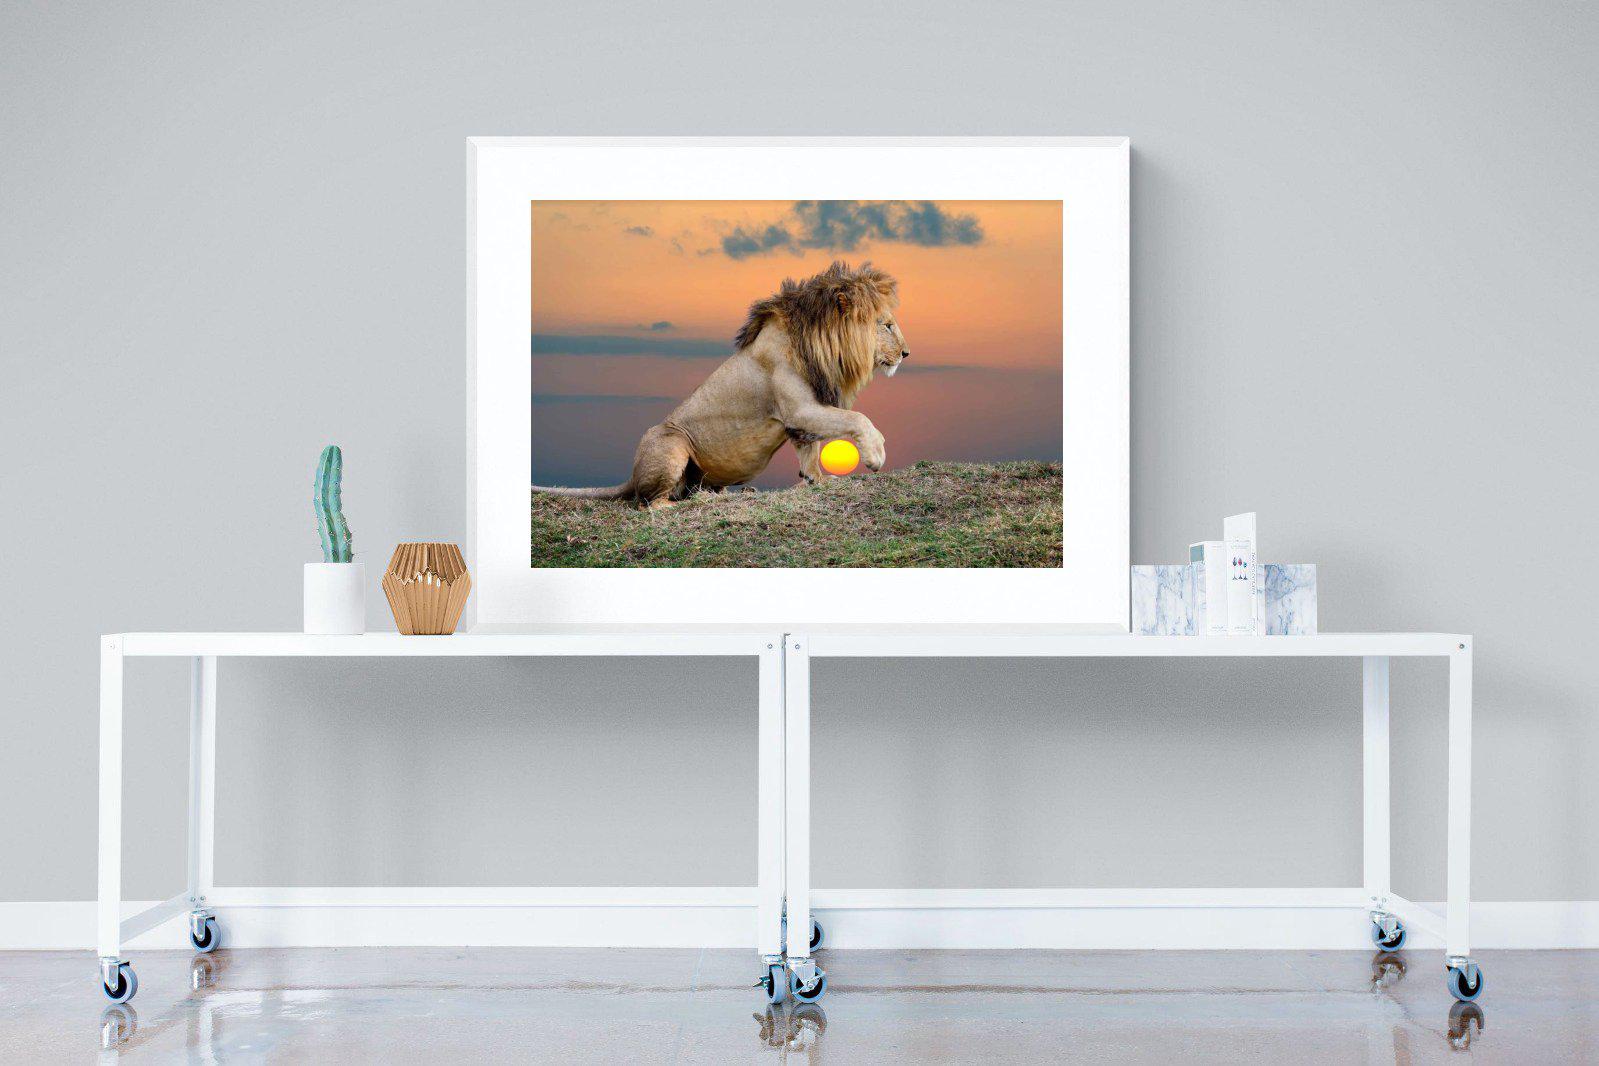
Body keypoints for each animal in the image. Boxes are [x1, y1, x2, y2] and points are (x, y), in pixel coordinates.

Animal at [533, 261, 910, 509]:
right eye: (887, 325)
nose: (907, 353)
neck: (822, 345)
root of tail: (632, 474)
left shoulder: (801, 416)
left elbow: (809, 450)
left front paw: (816, 480)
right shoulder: (800, 408)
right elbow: (856, 419)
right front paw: (875, 455)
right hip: (670, 441)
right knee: (647, 503)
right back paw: (678, 506)